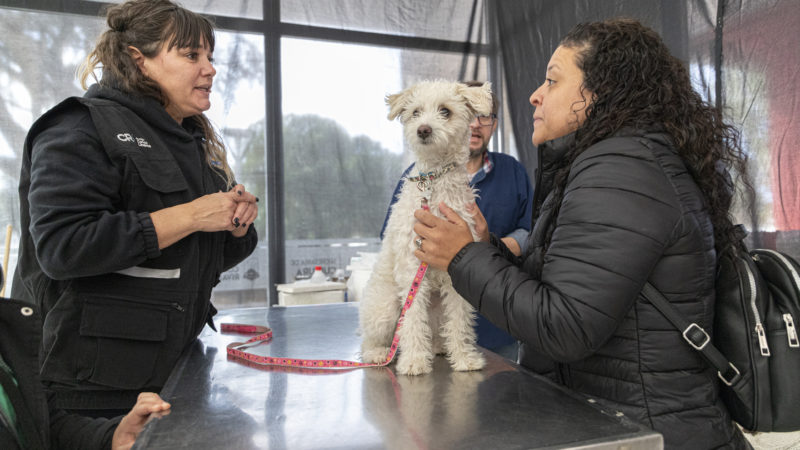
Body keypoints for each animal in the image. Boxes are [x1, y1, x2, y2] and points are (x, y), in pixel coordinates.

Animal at [358, 80, 494, 376]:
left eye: (445, 111)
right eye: (415, 112)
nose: (423, 129)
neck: (434, 180)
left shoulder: (456, 267)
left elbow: (459, 319)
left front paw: (464, 358)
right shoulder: (411, 266)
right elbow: (411, 317)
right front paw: (413, 361)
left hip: (437, 308)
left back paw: (438, 347)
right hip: (385, 307)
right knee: (370, 338)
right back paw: (379, 353)